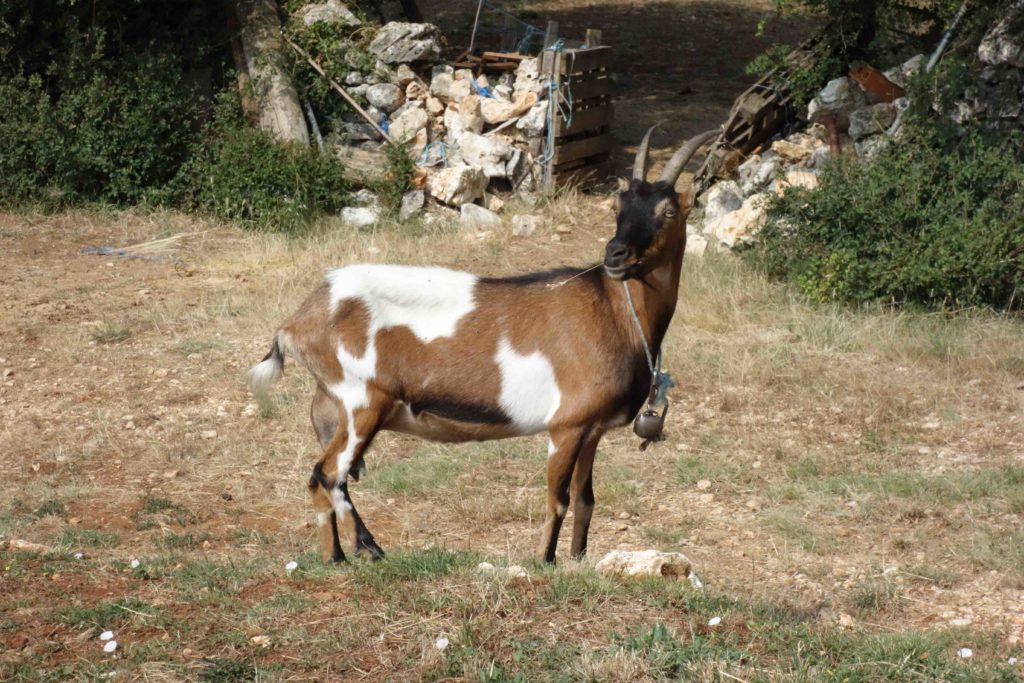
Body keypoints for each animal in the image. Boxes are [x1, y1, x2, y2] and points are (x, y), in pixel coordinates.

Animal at [246, 127, 716, 565]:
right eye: (619, 208)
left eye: (668, 211)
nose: (616, 254)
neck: (615, 312)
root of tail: (299, 318)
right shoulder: (566, 426)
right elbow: (558, 500)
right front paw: (544, 563)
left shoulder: (592, 430)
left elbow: (586, 500)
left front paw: (578, 561)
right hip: (362, 401)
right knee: (327, 475)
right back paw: (360, 550)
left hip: (334, 407)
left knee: (322, 479)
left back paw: (345, 555)